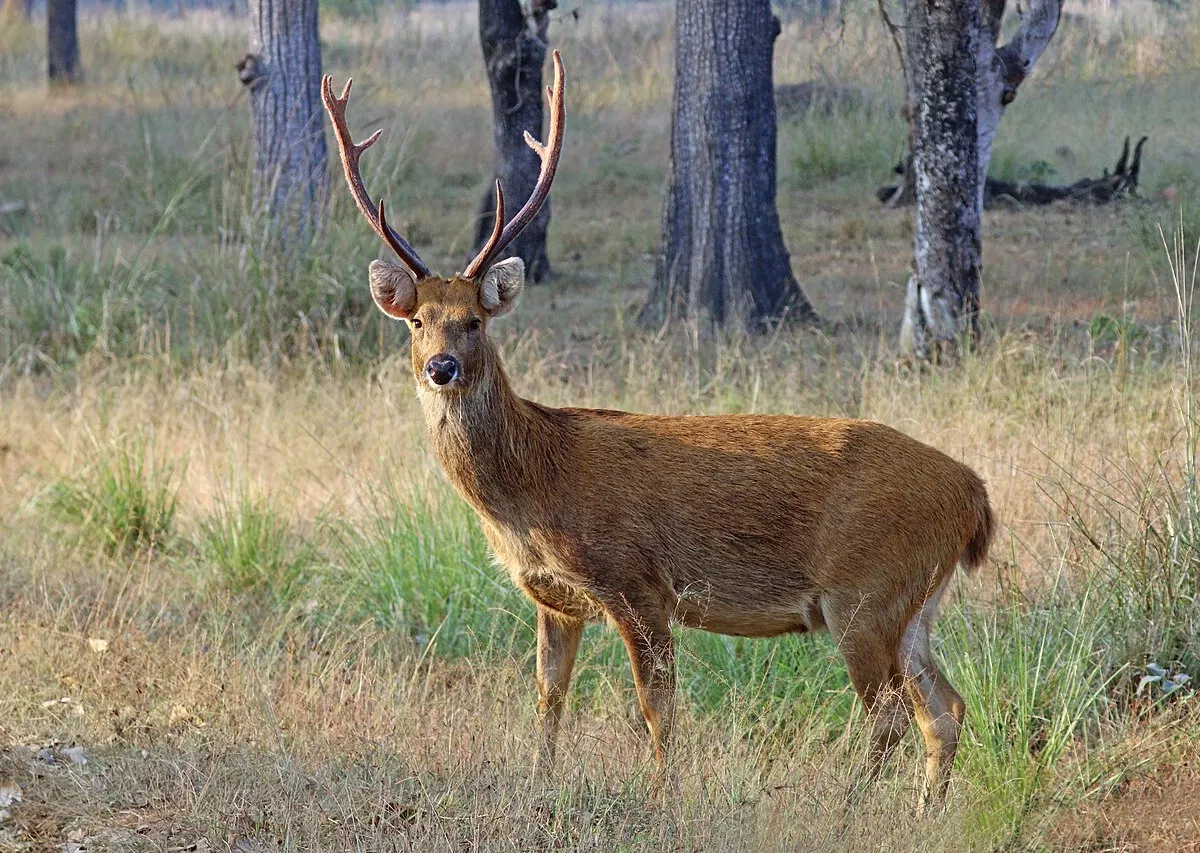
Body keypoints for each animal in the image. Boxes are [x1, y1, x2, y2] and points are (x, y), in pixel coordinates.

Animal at [321, 51, 995, 809]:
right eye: (416, 320)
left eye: (474, 320)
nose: (442, 367)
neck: (535, 484)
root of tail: (974, 495)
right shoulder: (555, 598)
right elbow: (548, 698)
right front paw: (538, 785)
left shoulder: (637, 581)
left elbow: (656, 706)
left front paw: (663, 797)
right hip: (915, 600)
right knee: (945, 707)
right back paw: (924, 810)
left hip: (865, 589)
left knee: (891, 714)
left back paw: (850, 807)